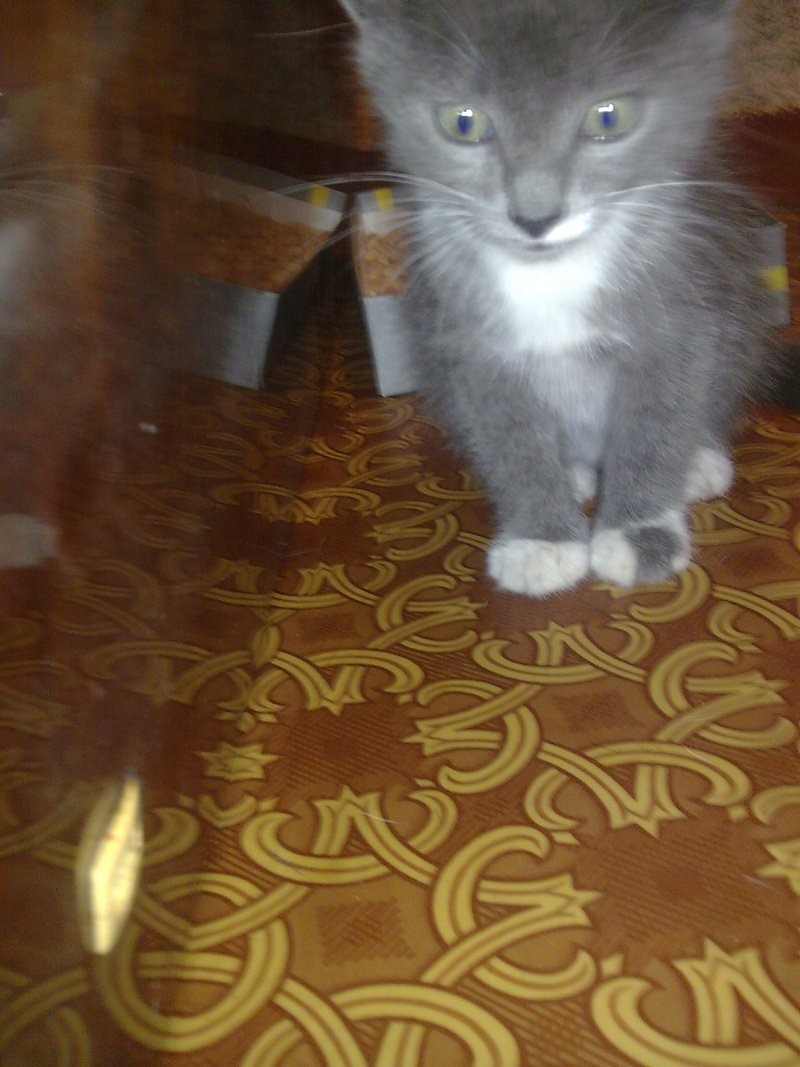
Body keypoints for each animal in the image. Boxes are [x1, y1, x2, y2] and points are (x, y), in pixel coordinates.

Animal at [340, 0, 774, 597]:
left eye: (609, 118)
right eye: (463, 122)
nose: (535, 218)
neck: (550, 275)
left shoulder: (681, 315)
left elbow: (658, 417)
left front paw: (641, 531)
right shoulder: (466, 343)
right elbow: (507, 434)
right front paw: (541, 538)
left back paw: (697, 461)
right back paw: (573, 473)